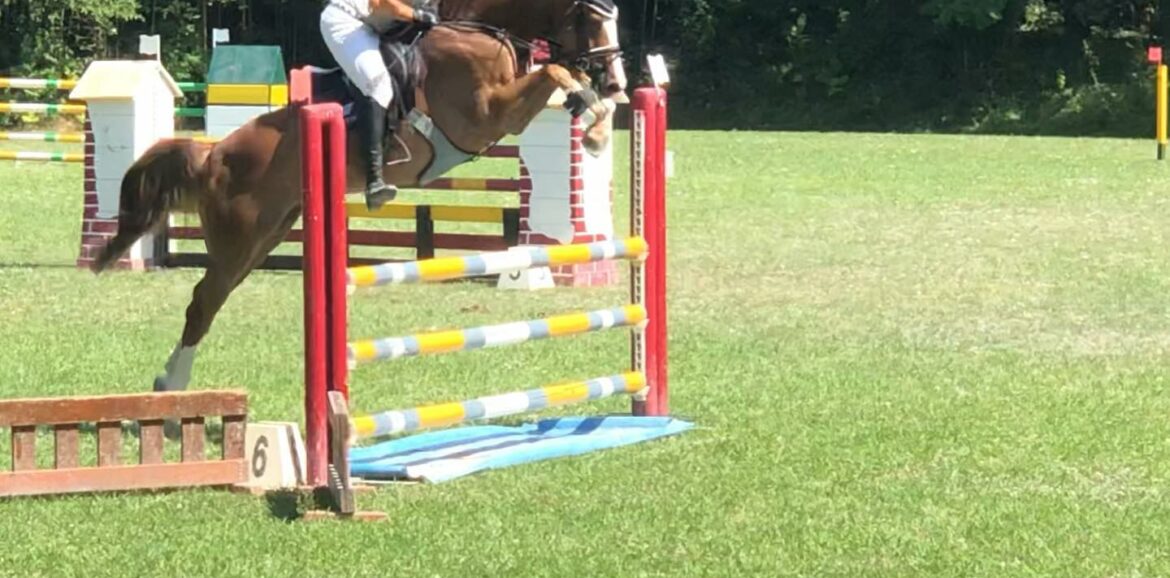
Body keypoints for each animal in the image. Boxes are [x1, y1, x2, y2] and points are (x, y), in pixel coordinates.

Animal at [88, 0, 631, 395]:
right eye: (590, 18)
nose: (617, 81)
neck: (479, 31)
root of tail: (213, 154)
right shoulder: (484, 116)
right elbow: (557, 75)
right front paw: (594, 123)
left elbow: (563, 78)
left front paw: (598, 123)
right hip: (237, 243)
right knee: (202, 303)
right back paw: (171, 390)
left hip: (265, 237)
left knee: (210, 298)